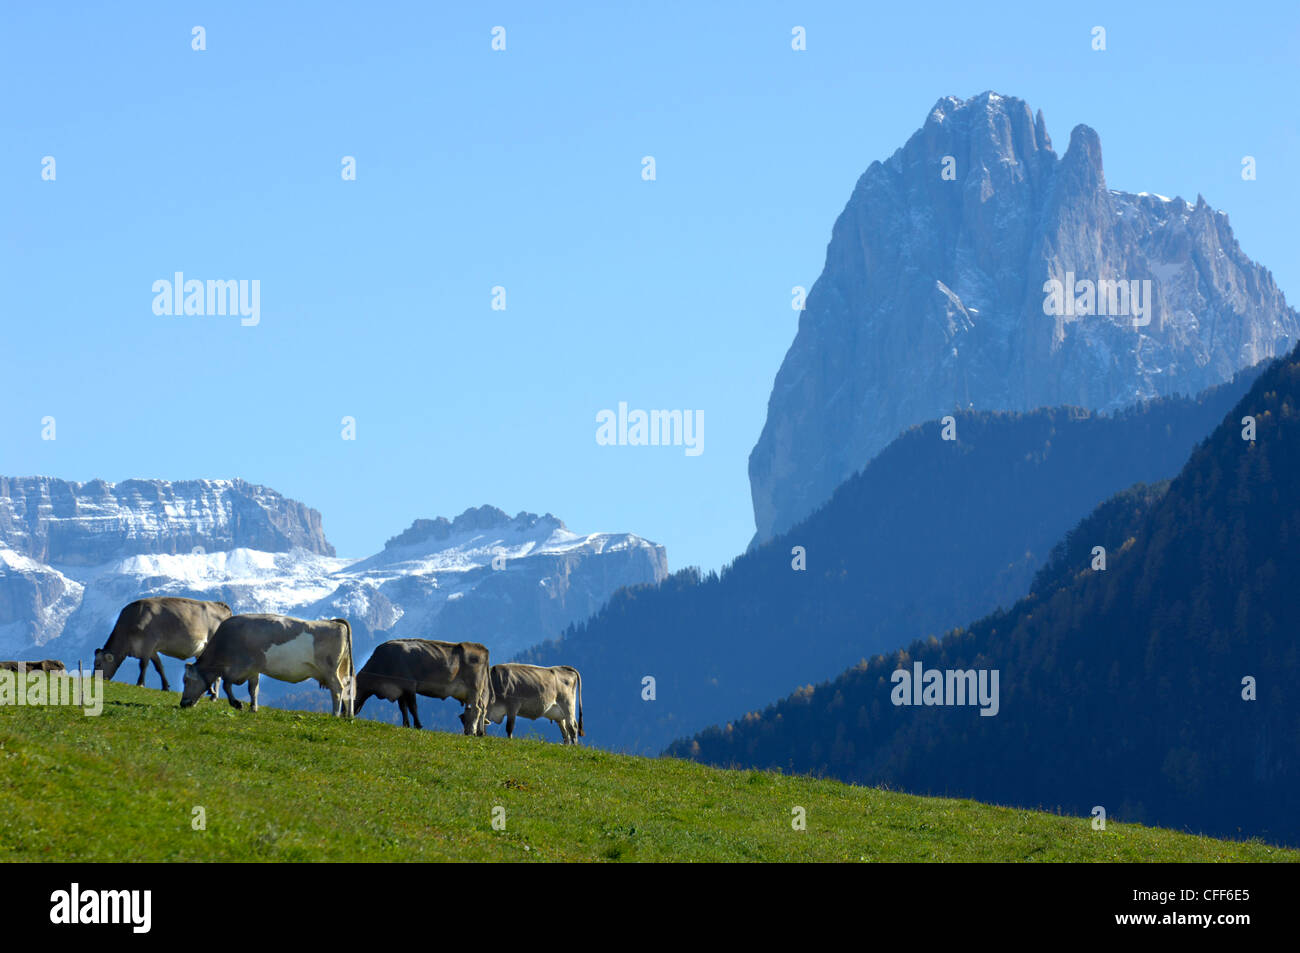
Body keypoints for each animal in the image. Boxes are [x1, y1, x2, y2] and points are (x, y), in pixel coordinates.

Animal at [94, 595, 232, 691]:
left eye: (99, 664)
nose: (94, 678)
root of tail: (220, 605)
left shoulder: (148, 644)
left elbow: (143, 665)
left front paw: (140, 684)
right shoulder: (153, 650)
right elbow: (159, 667)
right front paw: (165, 686)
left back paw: (213, 696)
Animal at [180, 613, 356, 717]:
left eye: (186, 681)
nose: (182, 704)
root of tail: (335, 623)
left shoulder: (240, 668)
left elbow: (226, 684)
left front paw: (237, 704)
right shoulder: (253, 670)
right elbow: (253, 689)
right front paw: (253, 708)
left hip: (330, 670)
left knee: (337, 689)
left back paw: (335, 714)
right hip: (342, 669)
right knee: (348, 689)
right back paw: (348, 717)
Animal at [353, 639, 488, 738]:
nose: (348, 713)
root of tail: (481, 647)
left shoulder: (410, 686)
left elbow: (413, 707)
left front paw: (418, 725)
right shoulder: (400, 690)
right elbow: (403, 708)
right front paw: (406, 724)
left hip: (474, 689)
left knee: (476, 709)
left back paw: (471, 731)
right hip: (473, 693)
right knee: (482, 708)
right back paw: (480, 732)